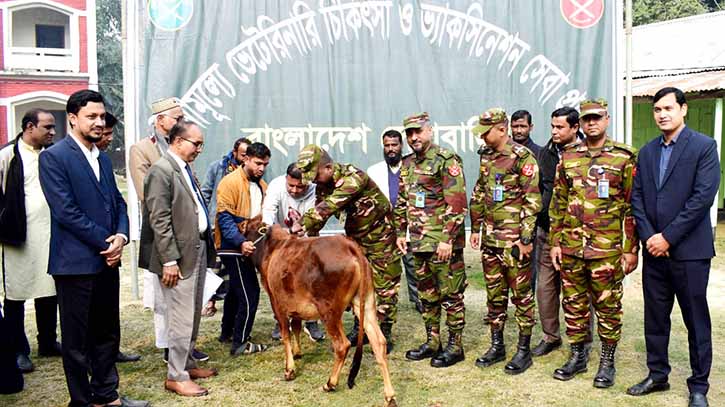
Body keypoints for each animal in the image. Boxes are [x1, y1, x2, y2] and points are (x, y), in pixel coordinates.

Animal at [243, 215, 396, 406]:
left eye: (246, 226)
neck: (272, 248)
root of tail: (350, 246)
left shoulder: (277, 302)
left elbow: (286, 334)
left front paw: (289, 370)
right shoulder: (295, 305)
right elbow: (296, 327)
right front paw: (297, 353)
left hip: (329, 311)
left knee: (342, 345)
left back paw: (330, 383)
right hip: (366, 304)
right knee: (379, 343)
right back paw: (389, 395)